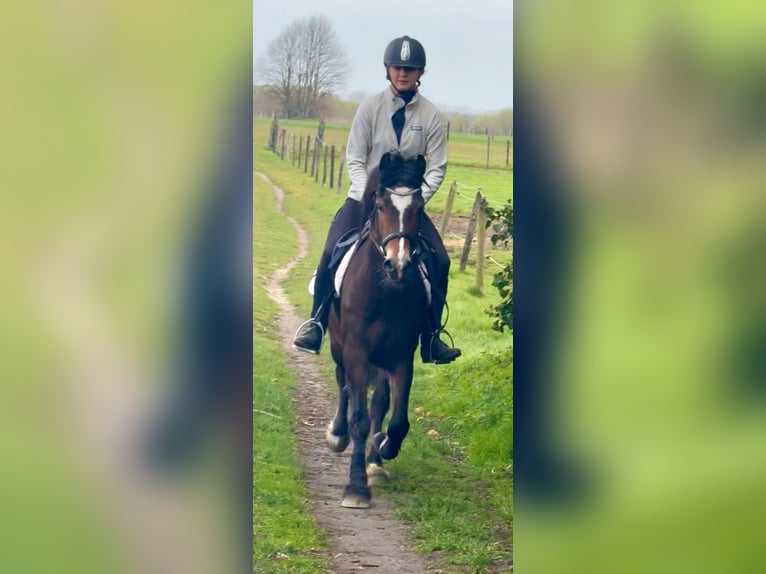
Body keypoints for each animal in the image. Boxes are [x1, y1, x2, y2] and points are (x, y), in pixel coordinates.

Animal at [325, 152, 430, 508]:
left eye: (419, 208)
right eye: (381, 205)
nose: (398, 266)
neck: (386, 292)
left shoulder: (401, 357)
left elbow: (395, 420)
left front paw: (382, 448)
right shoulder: (356, 353)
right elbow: (358, 418)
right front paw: (356, 488)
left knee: (378, 404)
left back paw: (374, 458)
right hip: (338, 348)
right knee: (343, 386)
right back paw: (337, 434)